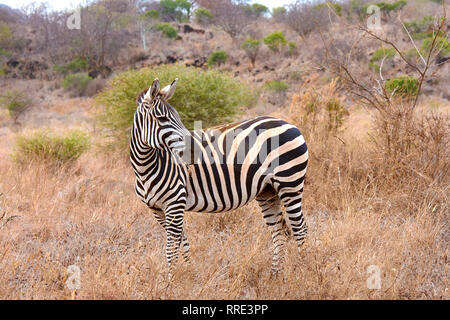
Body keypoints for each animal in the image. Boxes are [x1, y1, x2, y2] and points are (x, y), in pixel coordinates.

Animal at [128, 79, 308, 278]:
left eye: (178, 117)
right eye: (161, 119)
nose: (194, 151)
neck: (145, 166)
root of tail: (289, 123)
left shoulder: (175, 203)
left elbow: (170, 249)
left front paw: (171, 282)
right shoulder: (157, 209)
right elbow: (183, 243)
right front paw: (189, 274)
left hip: (290, 182)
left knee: (300, 229)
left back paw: (304, 273)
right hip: (267, 191)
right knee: (279, 231)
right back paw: (275, 276)